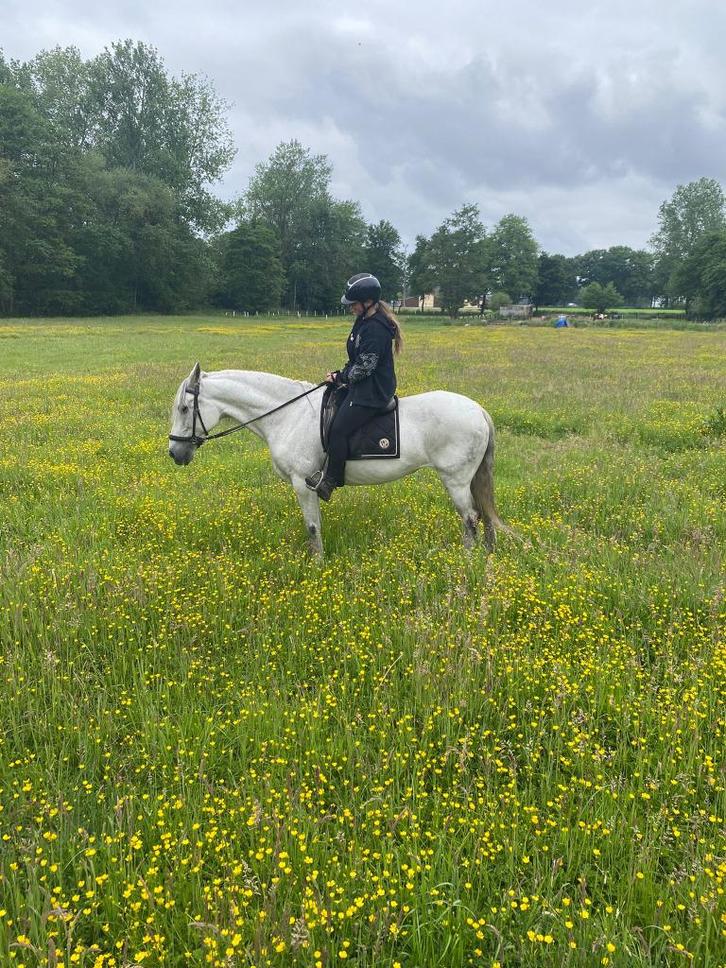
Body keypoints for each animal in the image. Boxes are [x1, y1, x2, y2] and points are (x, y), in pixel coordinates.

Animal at [168, 363, 504, 556]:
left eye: (184, 409)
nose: (174, 453)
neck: (288, 415)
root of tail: (477, 410)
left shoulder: (302, 483)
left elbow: (312, 527)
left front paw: (317, 564)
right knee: (481, 516)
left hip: (456, 479)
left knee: (470, 518)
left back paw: (465, 562)